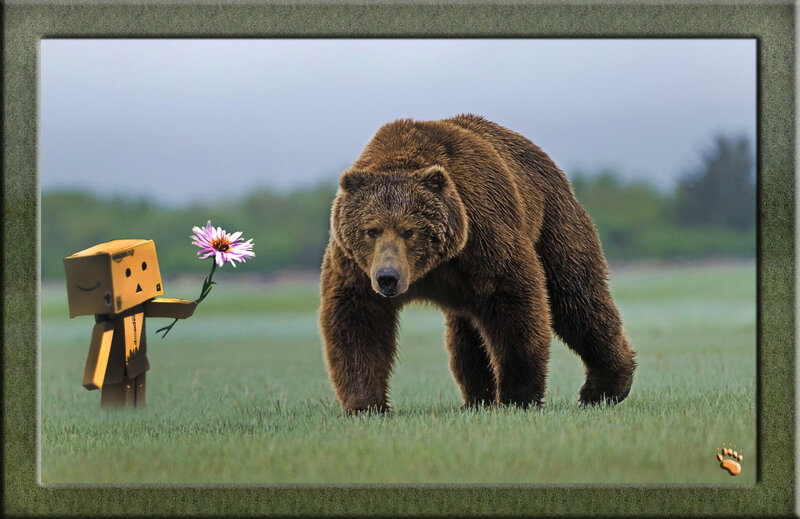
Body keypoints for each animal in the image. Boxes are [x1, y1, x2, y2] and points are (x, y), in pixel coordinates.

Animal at [320, 114, 636, 413]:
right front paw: (366, 404)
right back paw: (476, 398)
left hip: (553, 222)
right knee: (467, 334)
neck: (431, 268)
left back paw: (604, 388)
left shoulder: (483, 236)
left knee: (576, 299)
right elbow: (358, 321)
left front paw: (517, 396)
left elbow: (516, 305)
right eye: (371, 230)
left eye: (409, 230)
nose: (388, 277)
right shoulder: (355, 266)